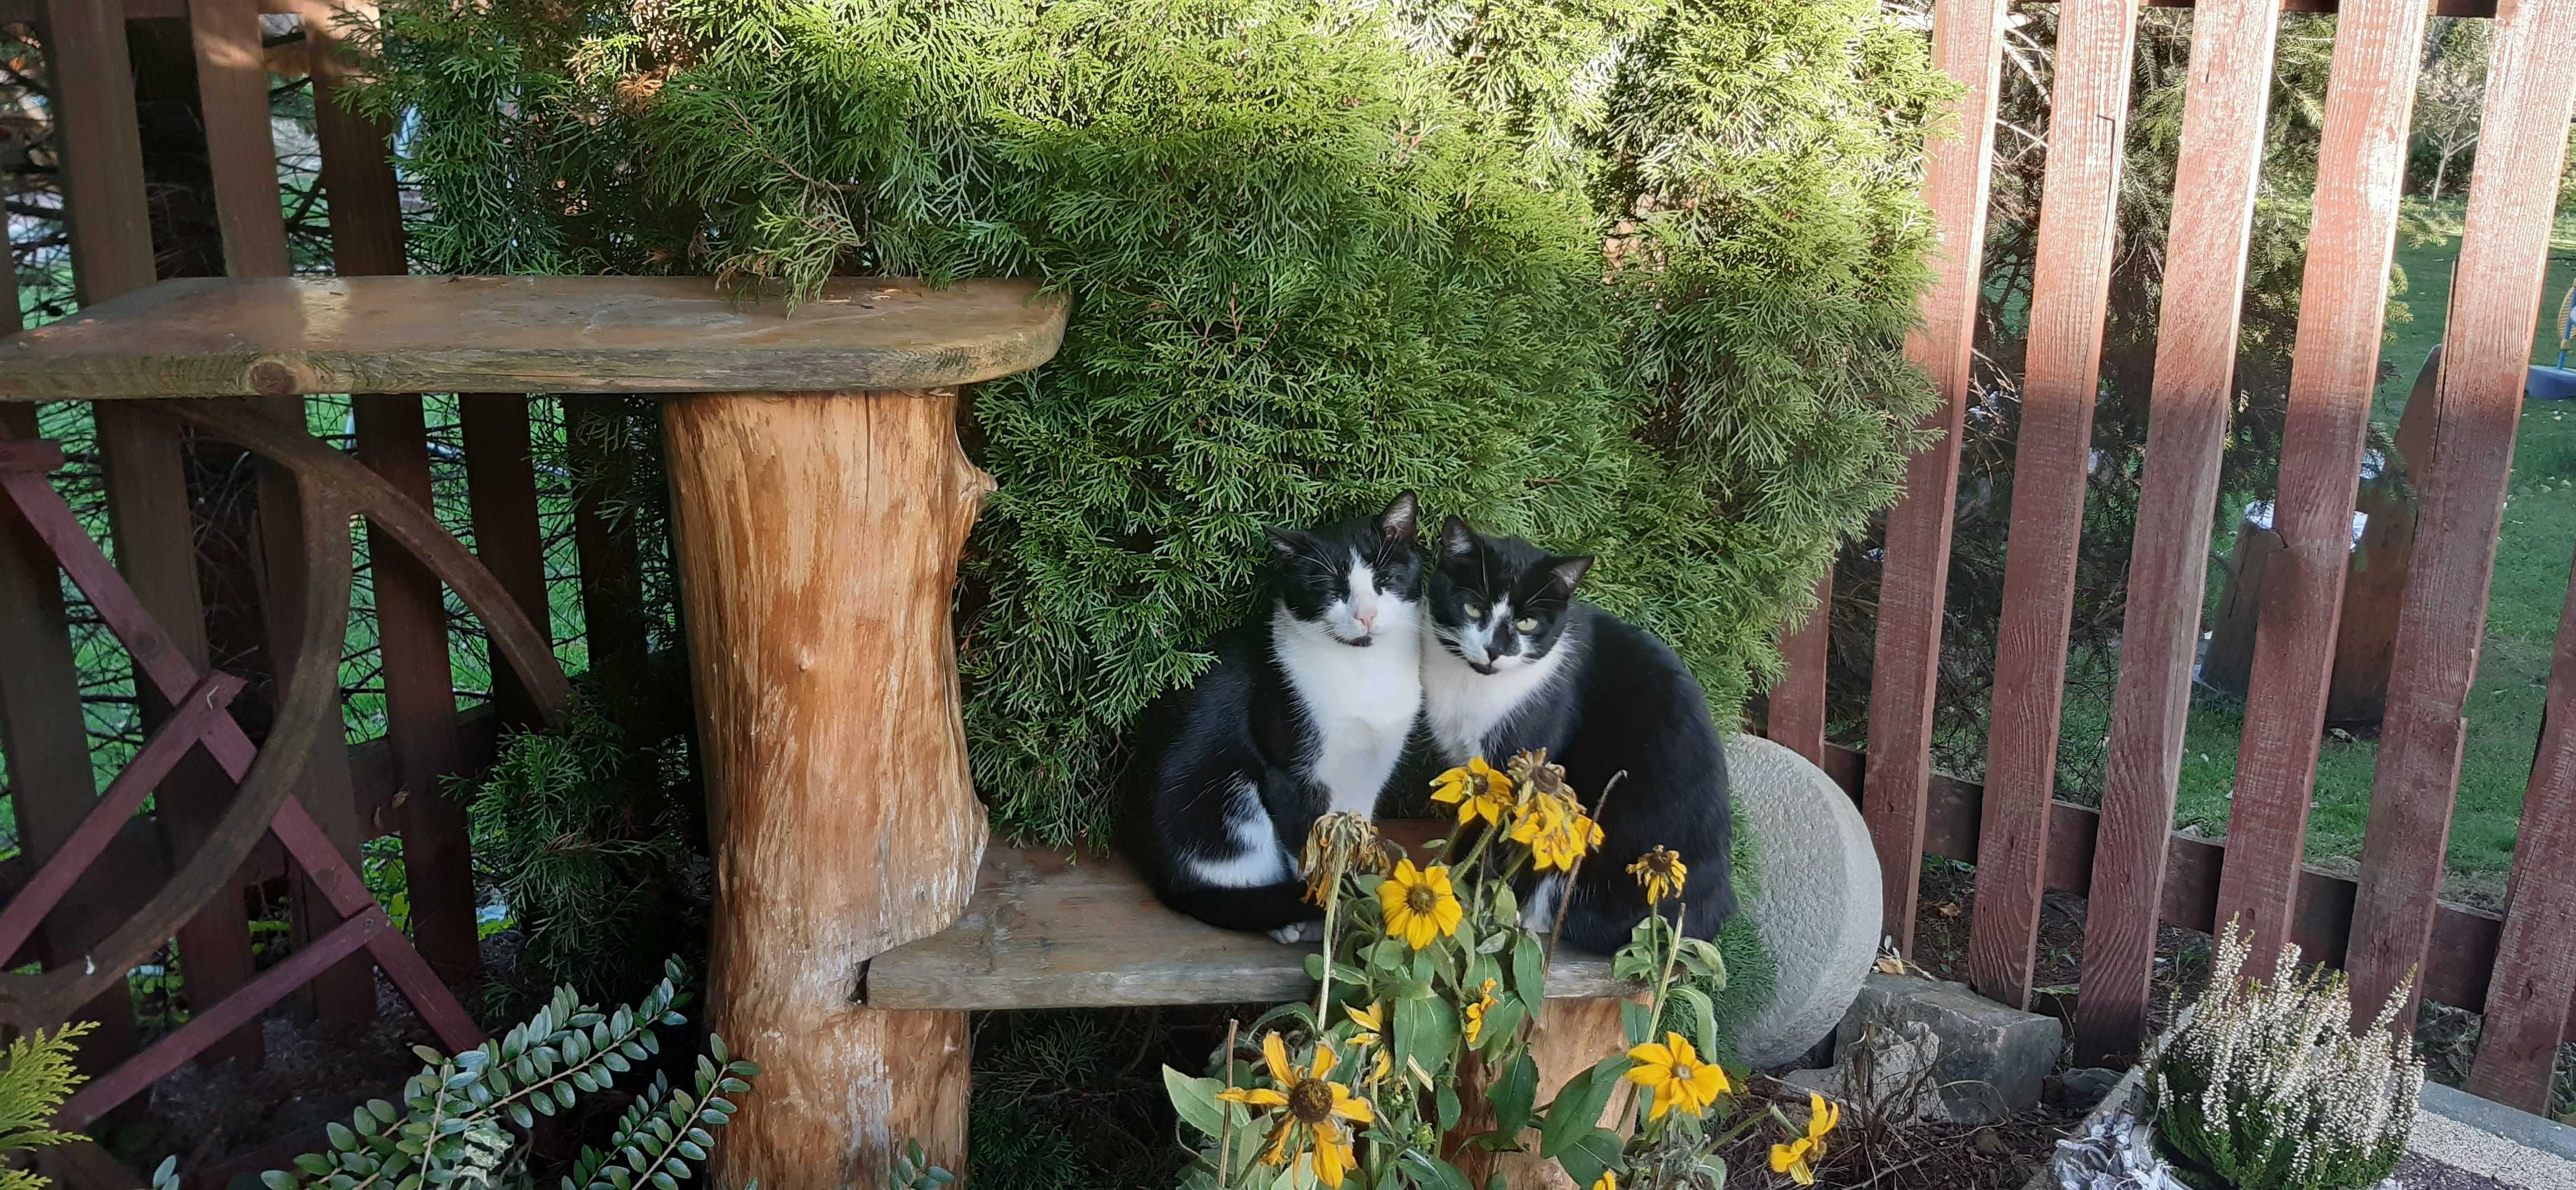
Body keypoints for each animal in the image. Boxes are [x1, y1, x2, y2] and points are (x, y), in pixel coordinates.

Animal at [1123, 489, 1432, 937]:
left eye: (1385, 580)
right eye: (1331, 590)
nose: (1366, 615)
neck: (1362, 668)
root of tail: (1163, 878)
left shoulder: (1374, 763)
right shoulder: (1288, 773)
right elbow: (1307, 850)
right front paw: (1328, 908)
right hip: (1227, 797)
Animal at [1422, 515, 1741, 953]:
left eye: (1527, 622)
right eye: (1473, 607)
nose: (1494, 650)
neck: (1473, 684)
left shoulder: (1520, 757)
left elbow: (1493, 835)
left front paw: (1470, 891)